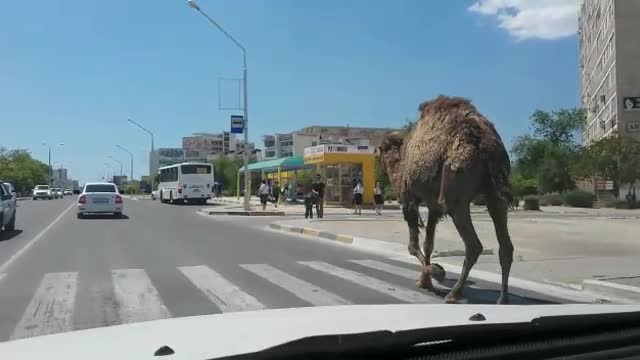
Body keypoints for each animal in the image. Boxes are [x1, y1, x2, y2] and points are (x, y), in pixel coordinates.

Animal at [378, 95, 512, 304]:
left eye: (381, 149)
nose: (376, 156)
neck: (400, 161)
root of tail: (487, 143)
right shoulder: (433, 206)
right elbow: (428, 244)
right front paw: (425, 281)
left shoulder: (409, 199)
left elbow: (412, 246)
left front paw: (435, 272)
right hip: (496, 190)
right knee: (505, 243)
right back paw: (503, 299)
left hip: (456, 187)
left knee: (473, 245)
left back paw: (454, 293)